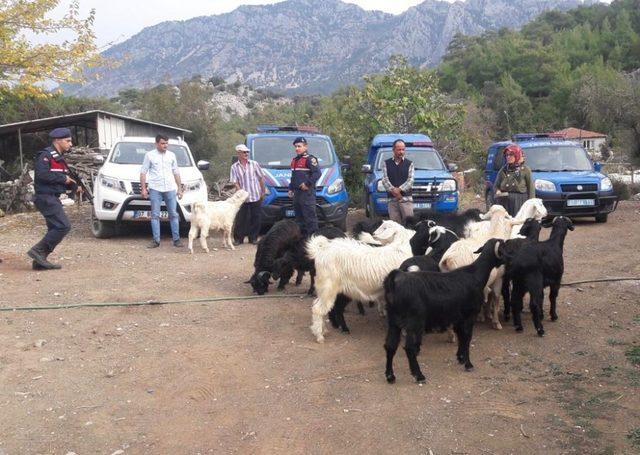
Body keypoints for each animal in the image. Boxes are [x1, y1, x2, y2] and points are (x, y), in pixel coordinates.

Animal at [382, 239, 502, 384]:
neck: (474, 274)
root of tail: (395, 280)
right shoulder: (469, 316)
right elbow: (467, 338)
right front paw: (468, 364)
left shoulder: (458, 318)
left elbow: (461, 337)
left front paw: (460, 358)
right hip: (414, 322)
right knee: (410, 348)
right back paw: (419, 375)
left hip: (394, 321)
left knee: (390, 346)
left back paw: (390, 376)